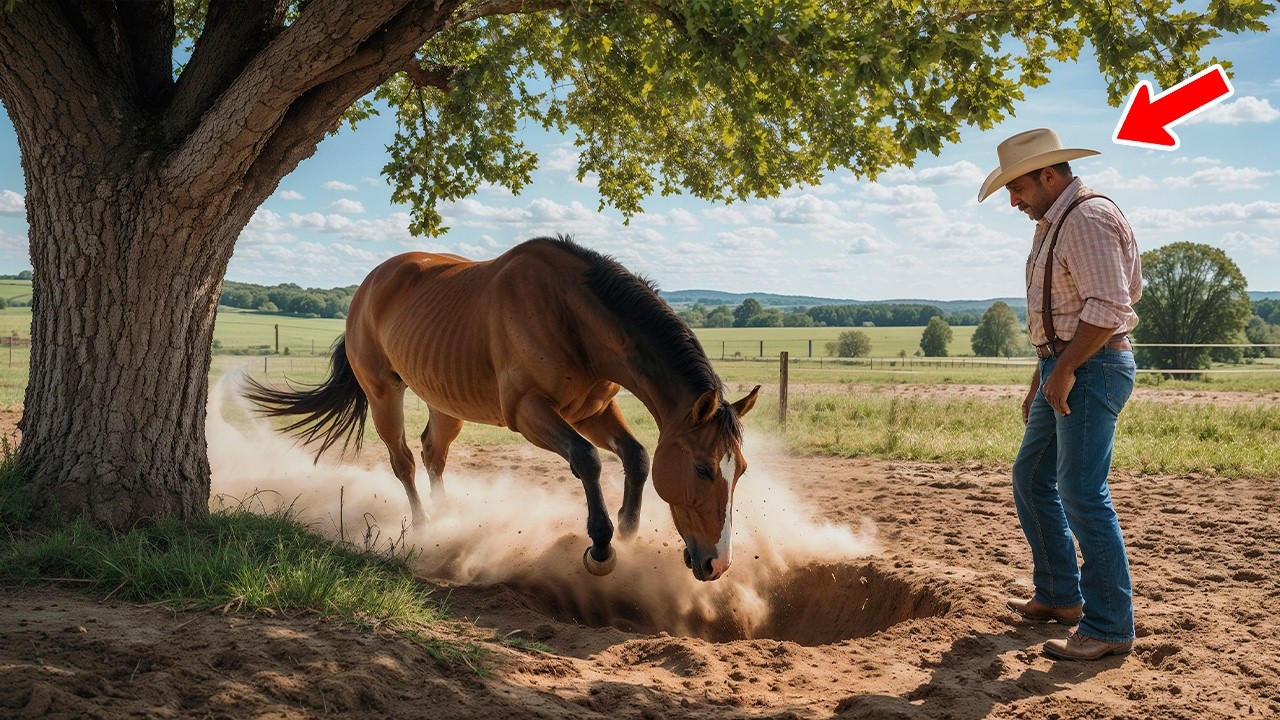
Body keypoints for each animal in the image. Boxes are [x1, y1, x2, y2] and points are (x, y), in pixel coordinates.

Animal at [242, 236, 759, 582]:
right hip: (384, 394)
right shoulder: (530, 412)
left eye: (741, 469)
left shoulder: (591, 411)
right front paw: (601, 546)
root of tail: (371, 282)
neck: (571, 312)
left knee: (433, 454)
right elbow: (587, 460)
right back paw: (424, 528)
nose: (717, 563)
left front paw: (629, 533)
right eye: (703, 468)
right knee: (404, 462)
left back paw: (447, 519)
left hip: (445, 401)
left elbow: (637, 456)